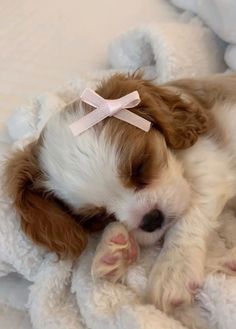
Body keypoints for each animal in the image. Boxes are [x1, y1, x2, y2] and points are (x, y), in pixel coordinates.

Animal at [4, 72, 236, 312]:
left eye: (140, 166)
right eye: (98, 216)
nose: (151, 219)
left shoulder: (210, 166)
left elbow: (187, 217)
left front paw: (174, 267)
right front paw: (112, 250)